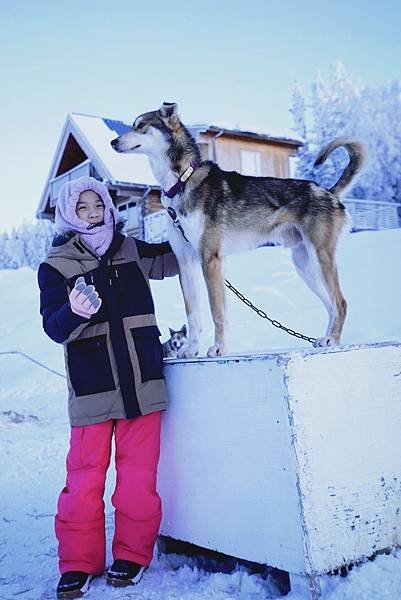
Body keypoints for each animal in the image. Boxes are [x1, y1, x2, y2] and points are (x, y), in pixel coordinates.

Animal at [111, 102, 364, 356]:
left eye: (141, 125)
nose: (113, 142)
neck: (181, 181)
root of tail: (328, 191)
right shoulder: (185, 261)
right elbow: (194, 315)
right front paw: (190, 350)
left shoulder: (209, 259)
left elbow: (216, 311)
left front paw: (218, 348)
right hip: (303, 264)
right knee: (331, 305)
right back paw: (327, 339)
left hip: (319, 256)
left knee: (340, 302)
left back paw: (332, 339)